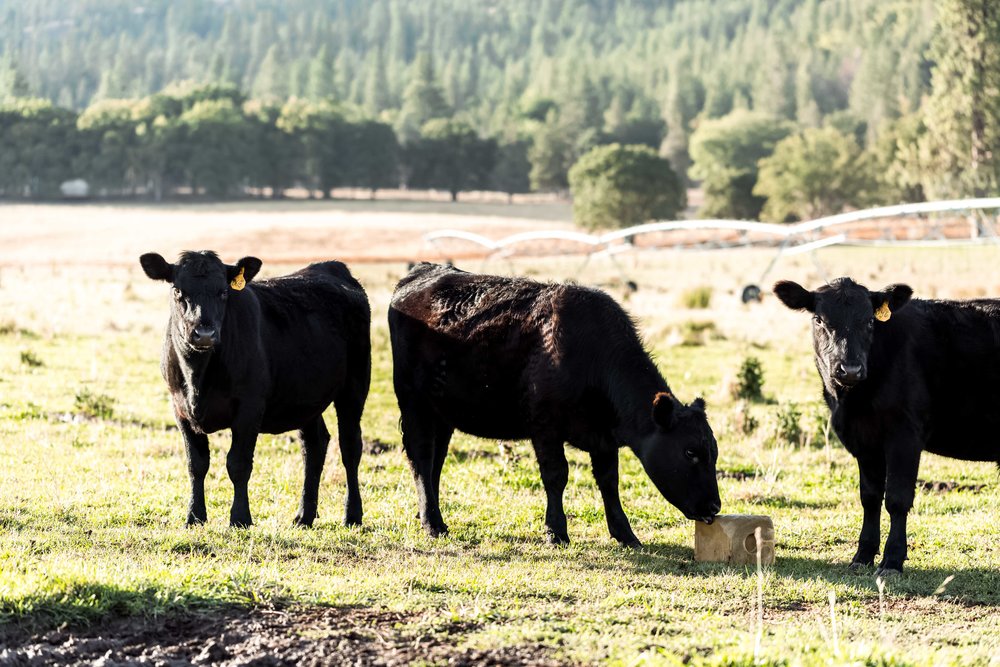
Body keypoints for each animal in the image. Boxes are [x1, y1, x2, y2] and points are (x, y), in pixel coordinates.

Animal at [141, 250, 372, 528]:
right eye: (178, 290)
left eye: (223, 292)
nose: (204, 334)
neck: (198, 376)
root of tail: (332, 267)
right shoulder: (180, 409)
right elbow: (196, 464)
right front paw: (194, 516)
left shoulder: (249, 408)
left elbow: (238, 464)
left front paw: (240, 518)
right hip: (305, 398)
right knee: (314, 445)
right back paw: (304, 516)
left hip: (355, 385)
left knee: (350, 446)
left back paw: (352, 515)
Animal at [386, 264, 724, 544]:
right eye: (690, 452)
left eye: (714, 451)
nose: (714, 505)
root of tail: (421, 274)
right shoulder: (545, 428)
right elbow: (556, 475)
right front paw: (556, 531)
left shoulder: (604, 439)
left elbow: (609, 482)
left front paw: (625, 534)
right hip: (414, 403)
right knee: (421, 457)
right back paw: (433, 524)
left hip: (442, 413)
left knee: (436, 460)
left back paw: (428, 515)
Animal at [776, 276, 1000, 576]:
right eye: (819, 319)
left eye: (870, 321)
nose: (850, 369)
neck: (851, 402)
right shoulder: (864, 440)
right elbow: (870, 497)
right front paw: (863, 555)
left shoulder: (904, 435)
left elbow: (897, 498)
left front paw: (892, 560)